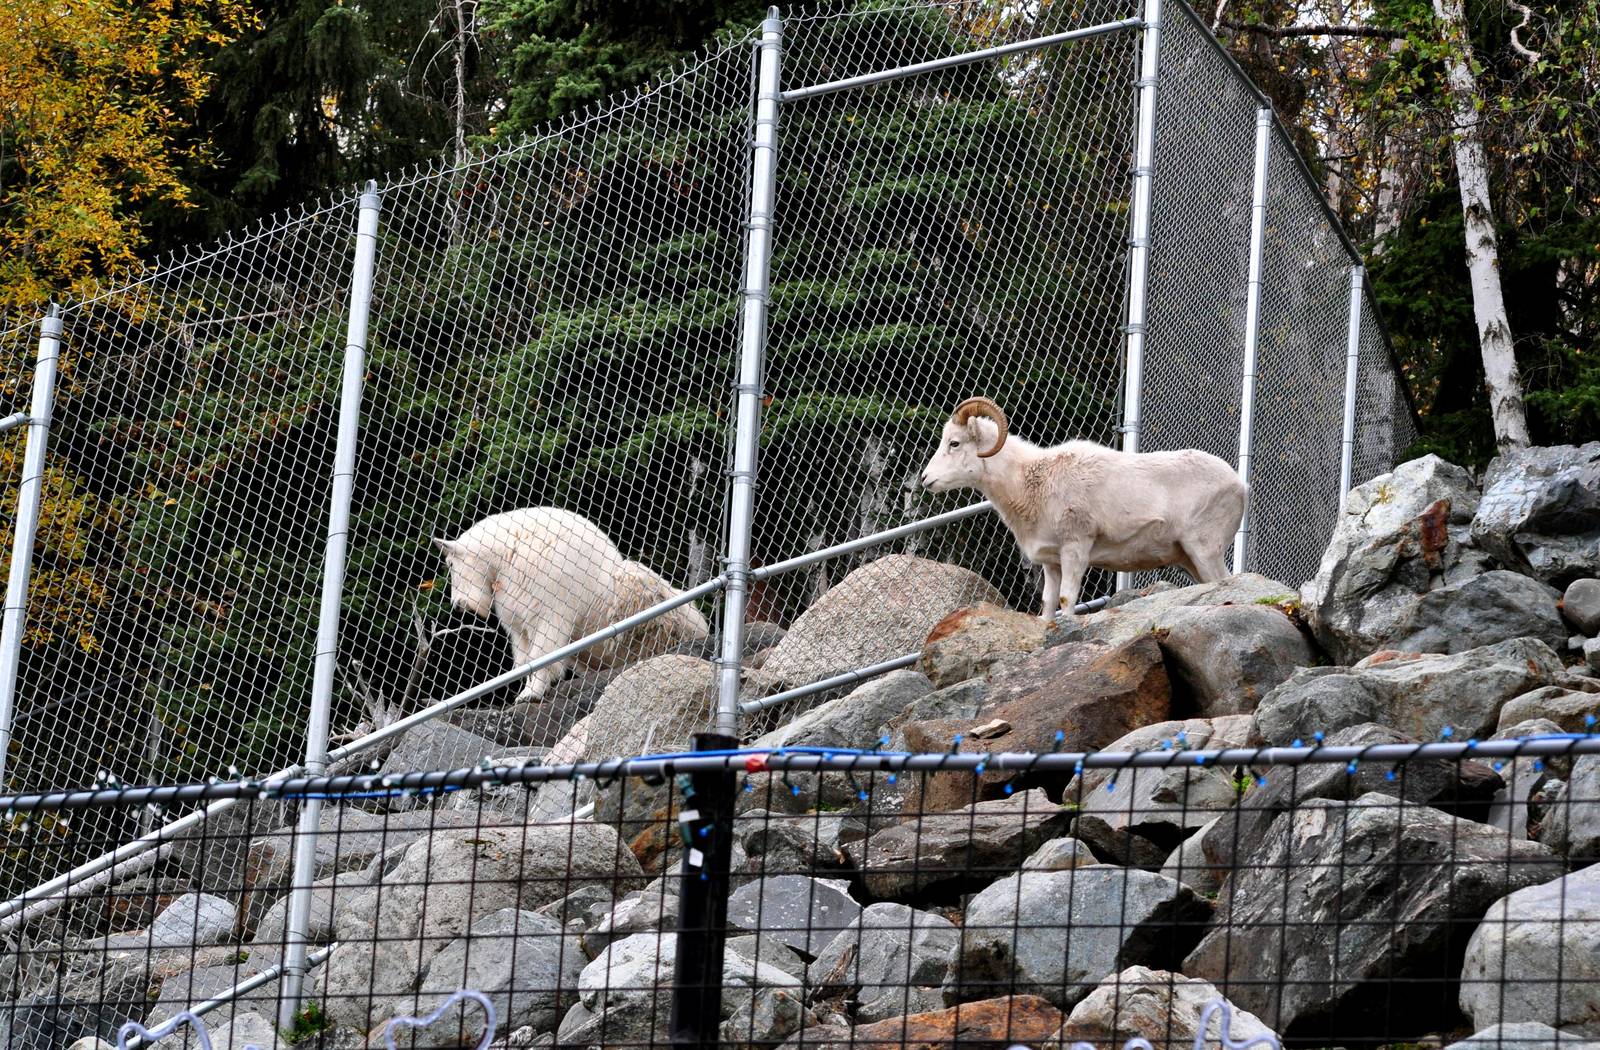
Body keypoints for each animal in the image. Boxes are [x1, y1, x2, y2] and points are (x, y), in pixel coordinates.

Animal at [432, 507, 711, 702]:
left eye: (450, 564)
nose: (458, 604)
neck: (506, 553)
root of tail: (703, 627)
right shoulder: (518, 617)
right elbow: (524, 659)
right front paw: (525, 691)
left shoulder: (550, 609)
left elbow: (542, 654)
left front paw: (531, 694)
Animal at [919, 397, 1247, 621]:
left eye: (954, 443)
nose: (925, 479)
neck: (1030, 483)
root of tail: (1240, 485)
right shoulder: (1051, 564)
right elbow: (1048, 604)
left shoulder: (1075, 548)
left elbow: (1067, 599)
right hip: (1189, 559)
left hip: (1204, 549)